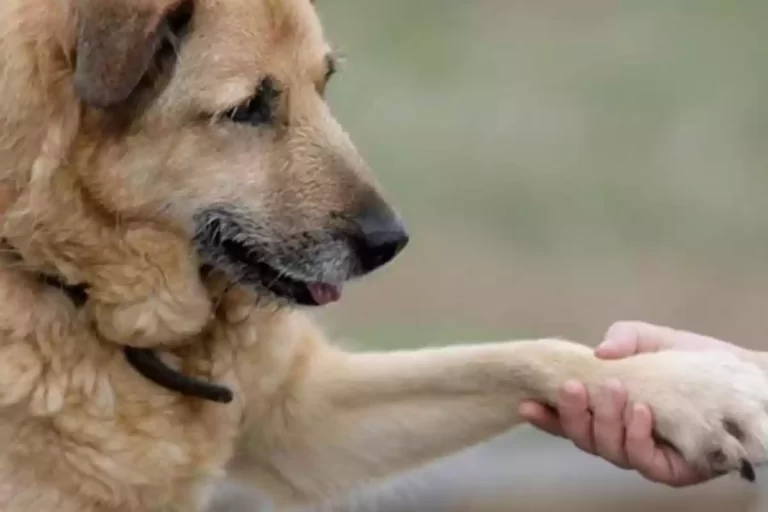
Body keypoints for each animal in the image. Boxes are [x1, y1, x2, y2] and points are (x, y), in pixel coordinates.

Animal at [0, 0, 768, 510]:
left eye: (324, 82)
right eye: (249, 108)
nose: (390, 243)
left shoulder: (306, 418)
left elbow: (514, 354)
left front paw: (694, 389)